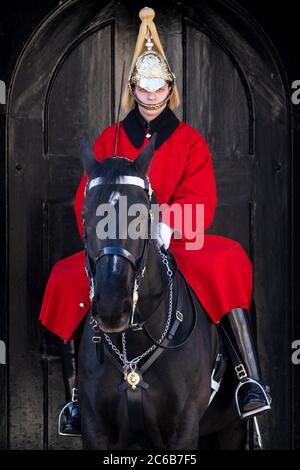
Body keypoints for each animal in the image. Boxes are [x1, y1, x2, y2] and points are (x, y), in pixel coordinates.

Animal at [77, 135, 246, 448]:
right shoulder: (95, 428)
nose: (111, 308)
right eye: (85, 216)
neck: (132, 346)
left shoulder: (183, 429)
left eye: (141, 215)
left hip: (232, 429)